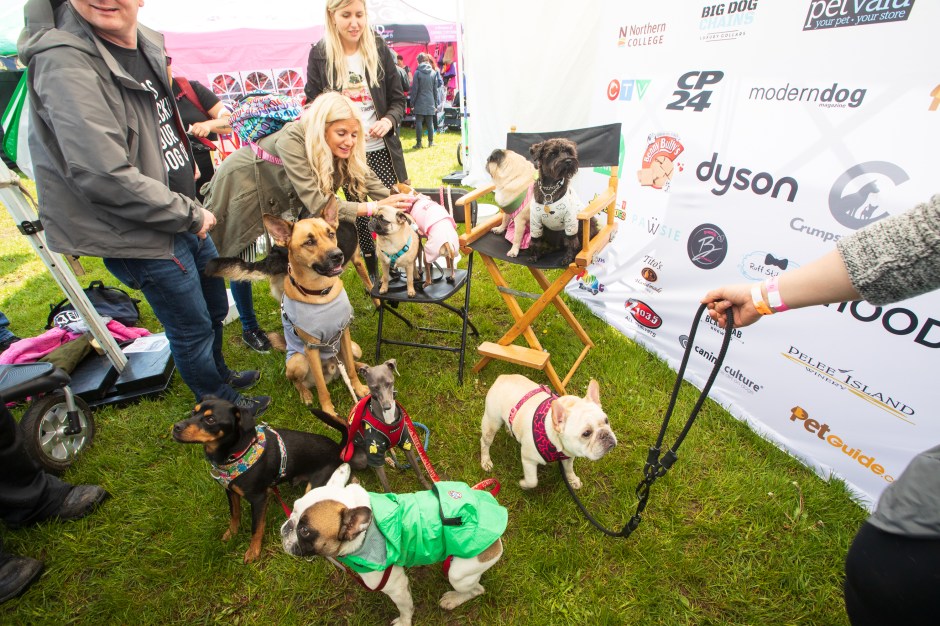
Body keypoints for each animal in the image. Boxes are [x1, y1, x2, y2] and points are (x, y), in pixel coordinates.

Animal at [172, 396, 366, 563]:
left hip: (315, 484)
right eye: (193, 412)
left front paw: (253, 552)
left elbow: (256, 527)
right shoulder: (230, 491)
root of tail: (338, 449)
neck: (237, 453)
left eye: (210, 420)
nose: (176, 426)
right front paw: (231, 533)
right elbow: (234, 514)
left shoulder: (258, 499)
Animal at [281, 464, 506, 626]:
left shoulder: (395, 586)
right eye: (293, 508)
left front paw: (404, 622)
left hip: (460, 573)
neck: (365, 534)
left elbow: (405, 608)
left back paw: (453, 599)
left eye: (305, 531)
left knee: (476, 589)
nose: (287, 527)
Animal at [342, 359, 432, 492]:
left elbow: (418, 471)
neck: (389, 421)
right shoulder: (374, 451)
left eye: (389, 383)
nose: (387, 406)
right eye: (374, 387)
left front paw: (429, 487)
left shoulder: (406, 443)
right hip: (361, 457)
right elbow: (386, 487)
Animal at [480, 374, 617, 490]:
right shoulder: (528, 459)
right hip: (491, 423)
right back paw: (486, 461)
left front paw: (572, 480)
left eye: (606, 420)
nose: (605, 434)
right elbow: (532, 481)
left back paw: (510, 429)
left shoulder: (569, 456)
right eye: (586, 433)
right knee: (485, 442)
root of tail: (502, 377)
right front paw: (524, 485)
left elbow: (569, 470)